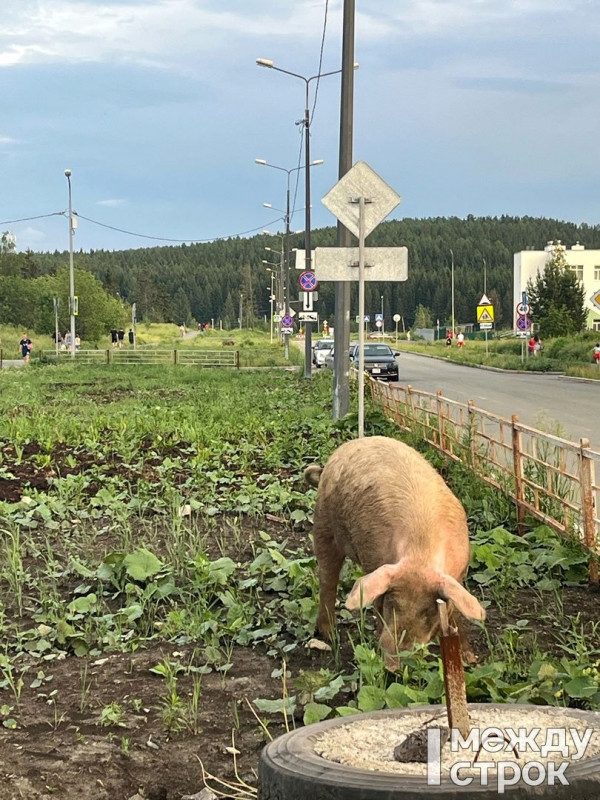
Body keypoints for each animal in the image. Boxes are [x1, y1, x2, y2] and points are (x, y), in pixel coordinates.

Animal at [302, 434, 486, 664]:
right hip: (323, 523)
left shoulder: (458, 575)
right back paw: (329, 636)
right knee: (327, 578)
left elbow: (455, 612)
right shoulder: (375, 565)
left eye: (428, 611)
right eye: (393, 604)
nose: (393, 664)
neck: (420, 555)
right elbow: (377, 608)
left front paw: (470, 659)